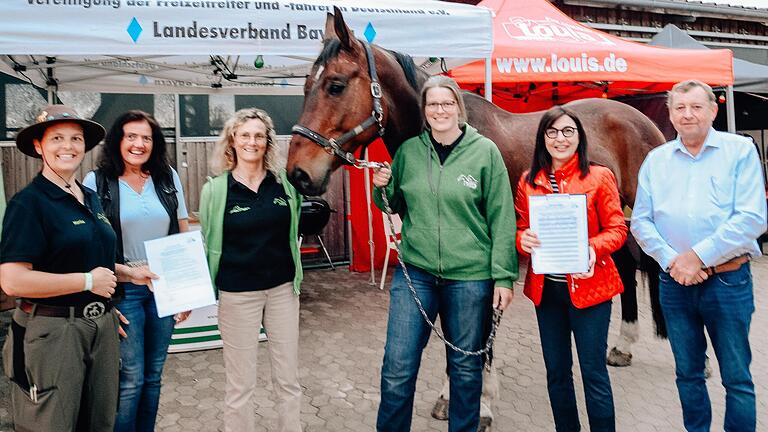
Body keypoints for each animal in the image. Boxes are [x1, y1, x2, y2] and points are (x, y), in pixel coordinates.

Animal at [288, 5, 664, 428]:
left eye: (335, 85)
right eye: (306, 85)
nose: (298, 173)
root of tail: (637, 116)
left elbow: (479, 331)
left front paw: (481, 401)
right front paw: (451, 394)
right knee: (626, 266)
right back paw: (623, 344)